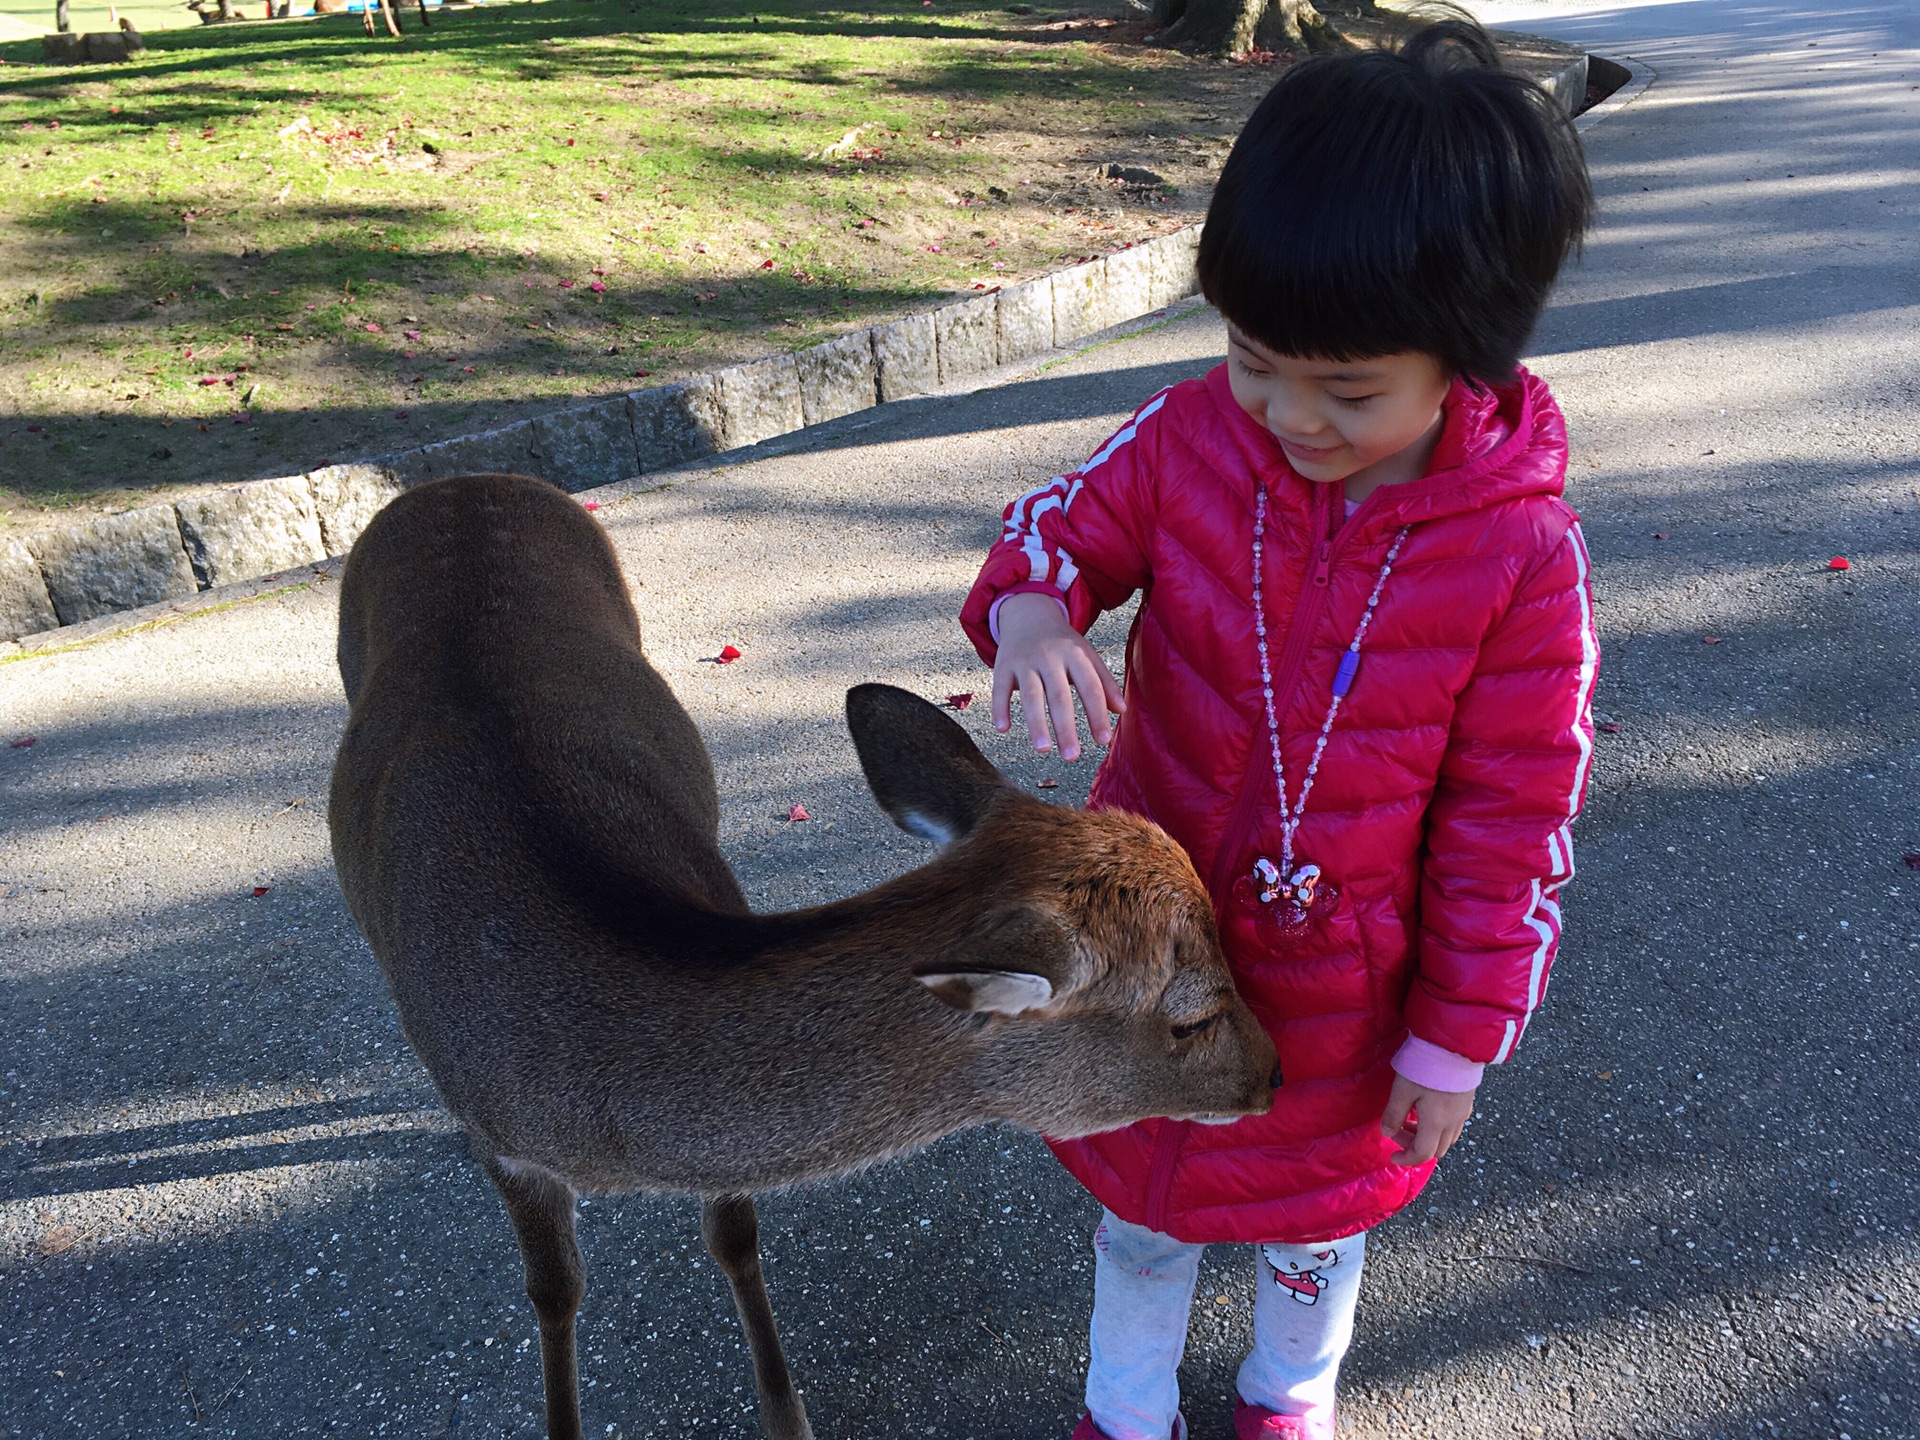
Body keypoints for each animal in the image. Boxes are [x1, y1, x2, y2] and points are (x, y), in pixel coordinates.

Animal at [326, 476, 1274, 1440]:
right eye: (1191, 1014)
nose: (1275, 1075)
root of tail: (458, 481)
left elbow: (733, 1233)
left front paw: (786, 1416)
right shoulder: (504, 1143)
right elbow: (553, 1293)